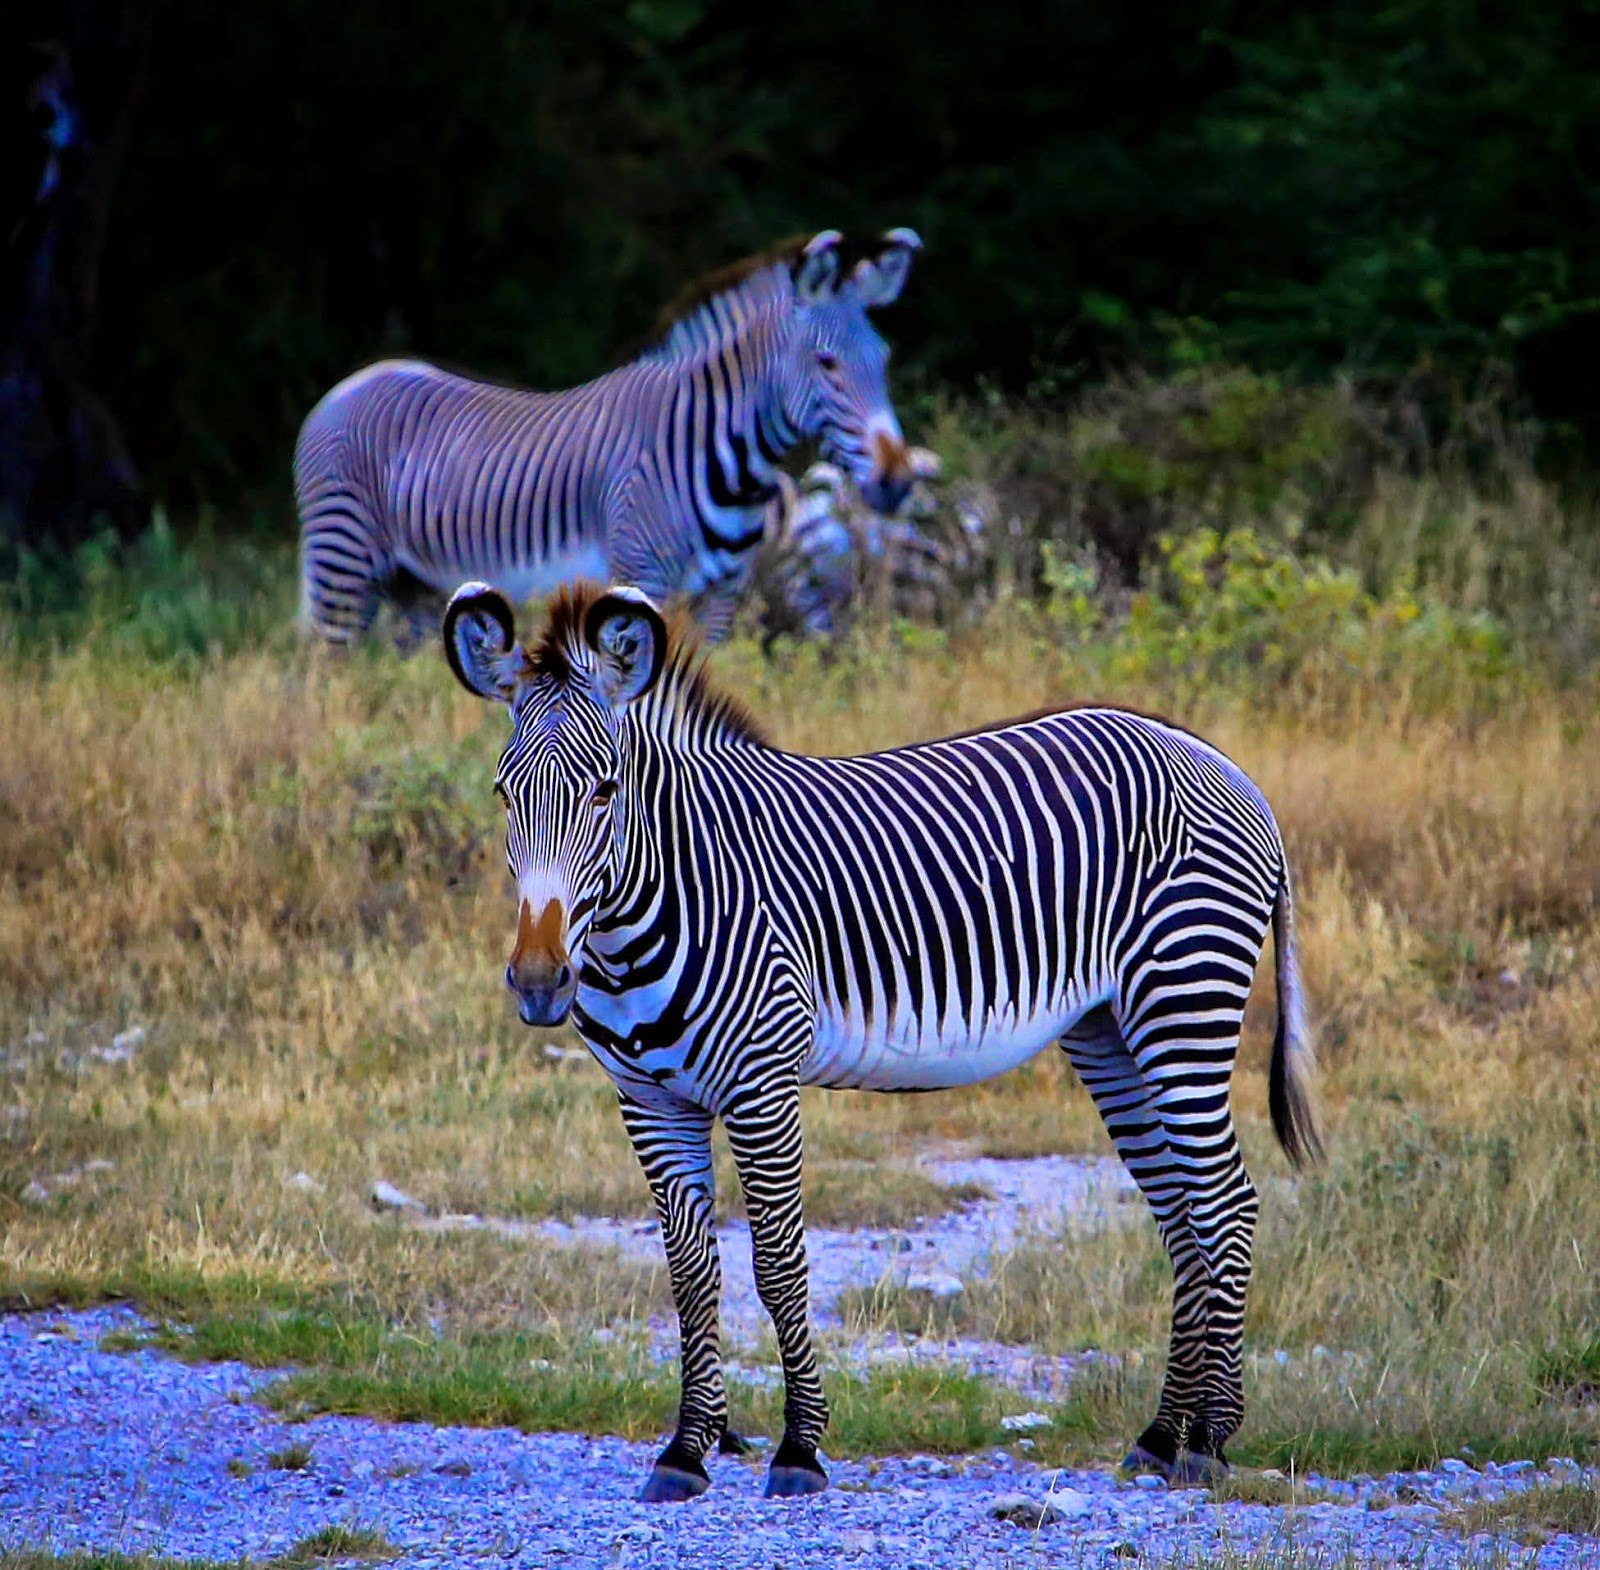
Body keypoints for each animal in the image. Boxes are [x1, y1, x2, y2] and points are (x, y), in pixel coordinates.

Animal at [297, 225, 928, 643]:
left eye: (885, 359)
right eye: (827, 364)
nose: (897, 481)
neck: (722, 454)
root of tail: (348, 385)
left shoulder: (722, 594)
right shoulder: (642, 578)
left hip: (415, 587)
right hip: (342, 563)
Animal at [441, 572, 1324, 1497]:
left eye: (605, 790)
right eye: (504, 794)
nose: (540, 982)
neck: (661, 899)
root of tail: (1223, 763)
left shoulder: (762, 1083)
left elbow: (779, 1265)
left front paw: (799, 1447)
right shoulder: (650, 1100)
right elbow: (689, 1276)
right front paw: (686, 1449)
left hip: (1183, 998)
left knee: (1224, 1203)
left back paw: (1210, 1441)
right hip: (1110, 1031)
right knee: (1181, 1213)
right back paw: (1160, 1435)